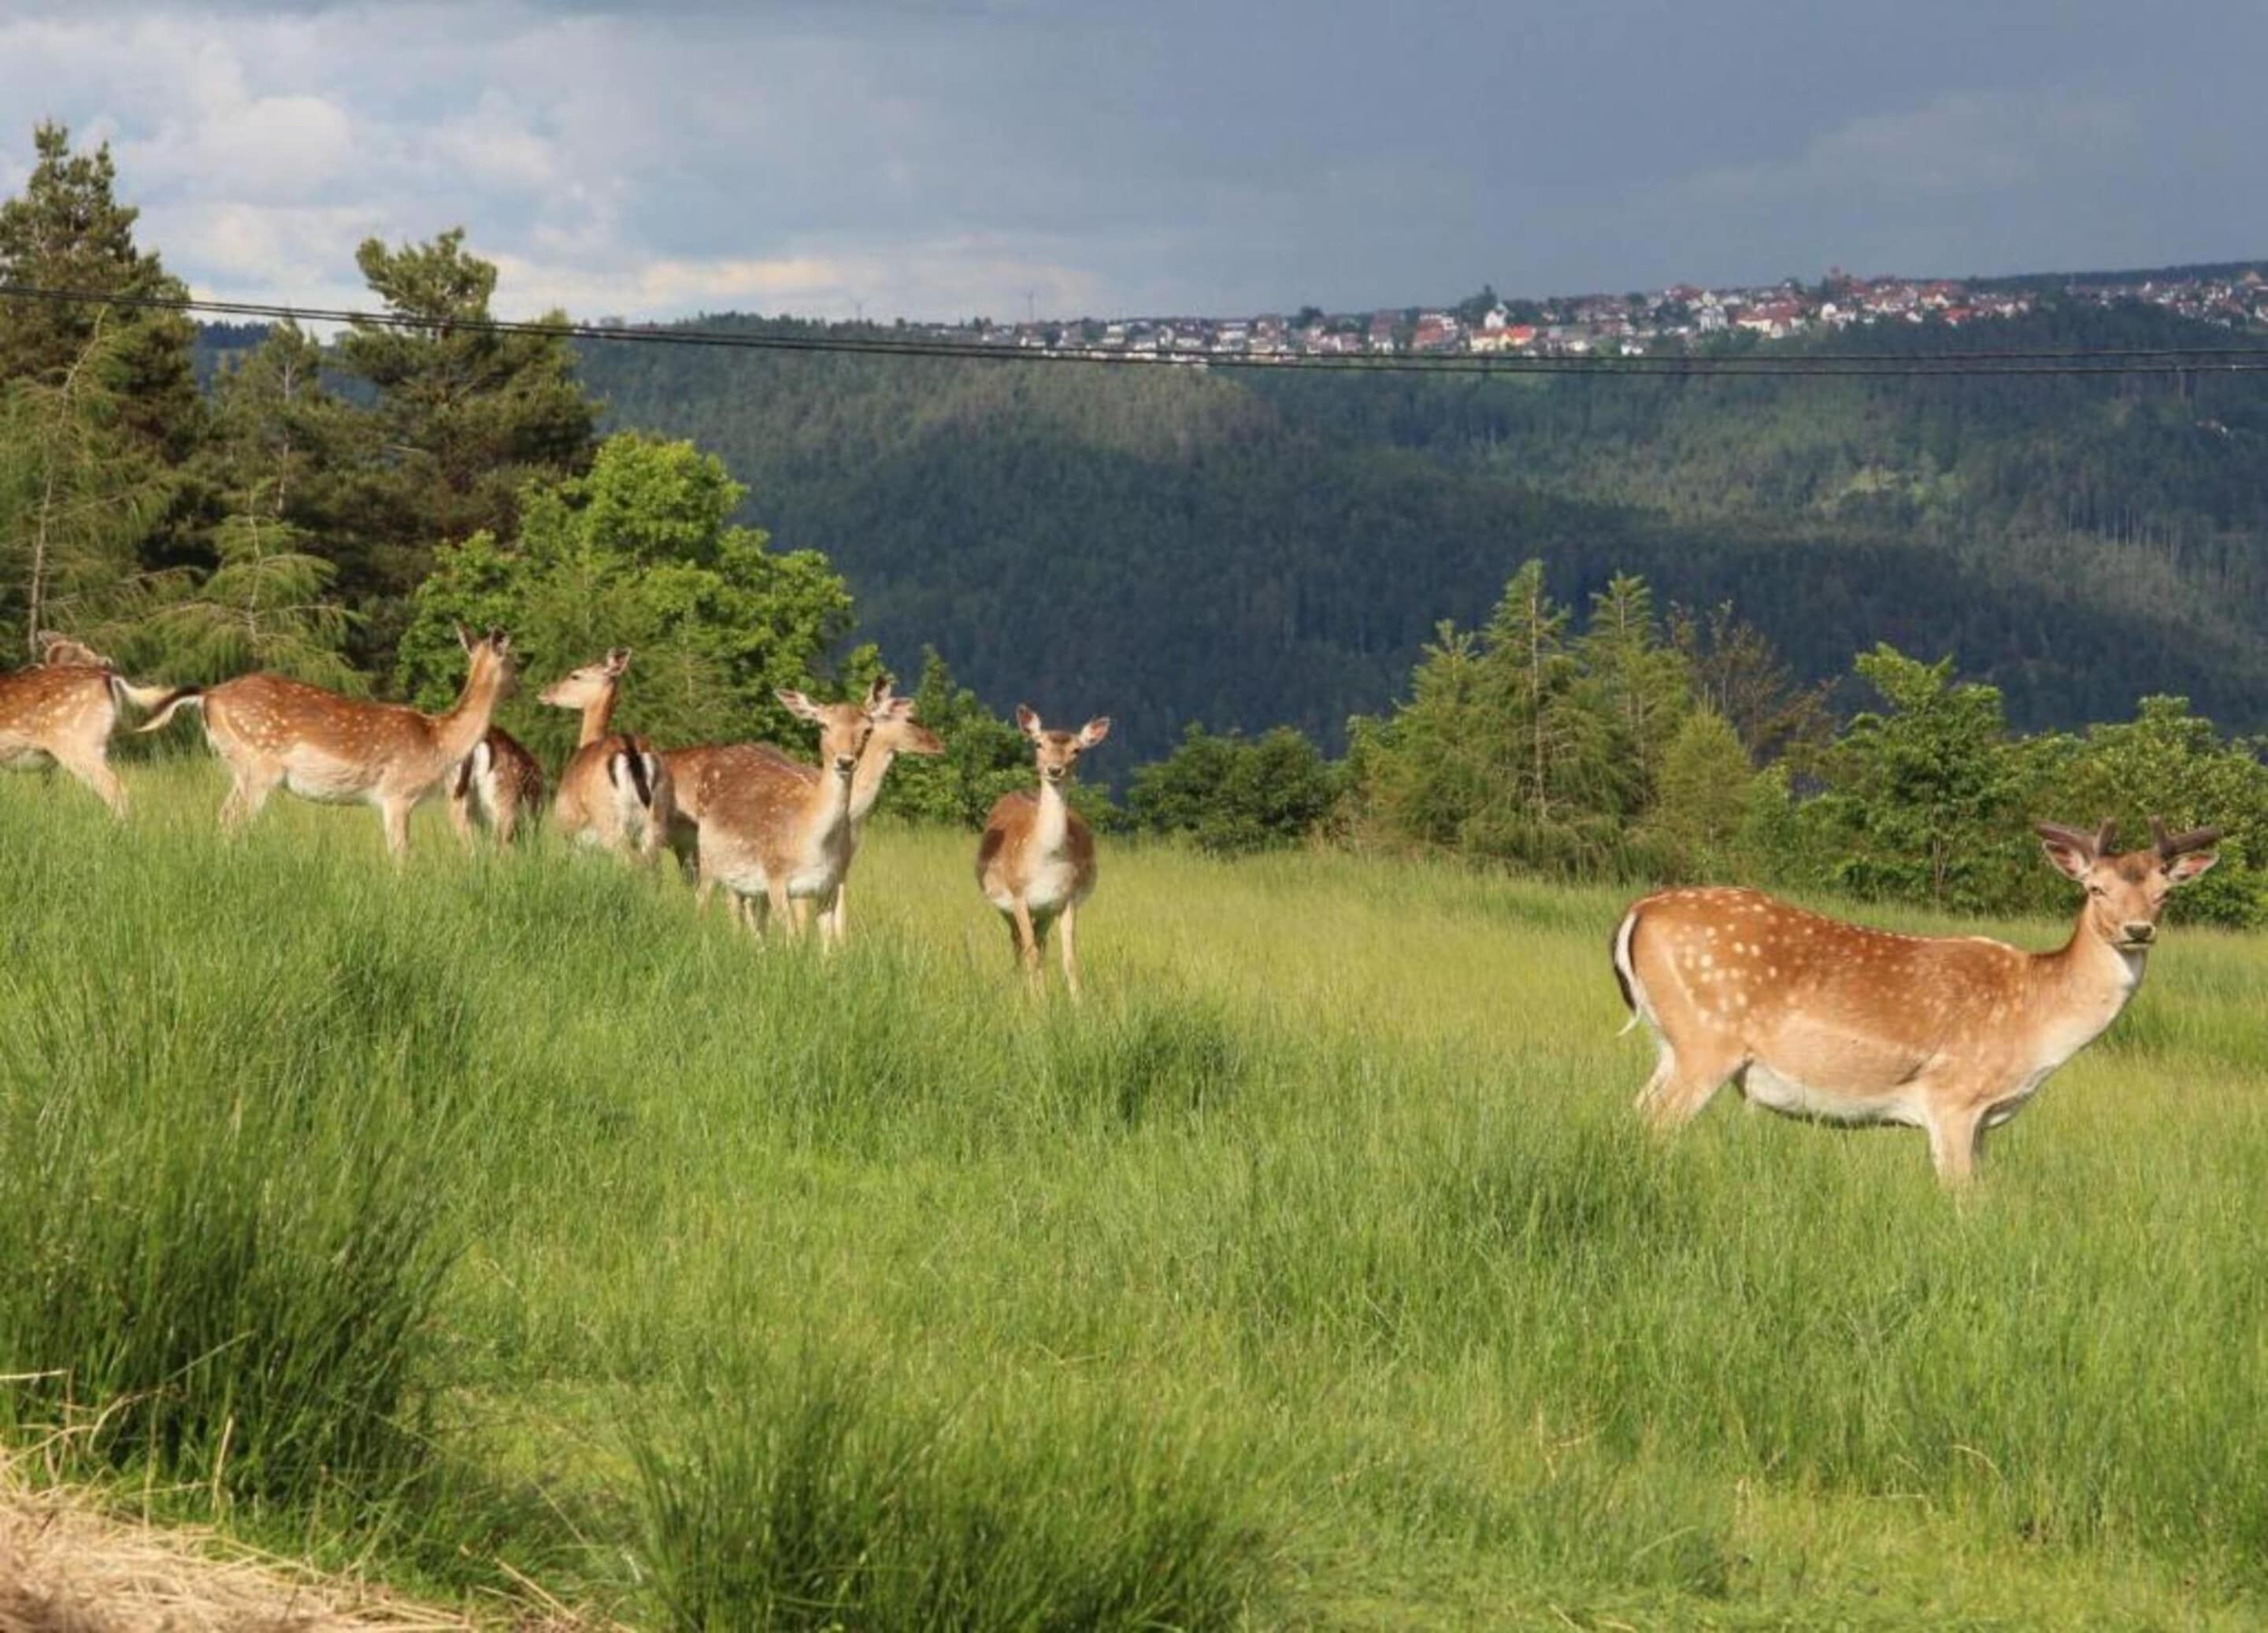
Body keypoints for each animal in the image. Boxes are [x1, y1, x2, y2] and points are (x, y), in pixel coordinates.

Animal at [138, 626, 516, 858]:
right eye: (516, 659)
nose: (522, 684)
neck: (439, 740)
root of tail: (209, 696)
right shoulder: (397, 793)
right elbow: (402, 856)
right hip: (257, 765)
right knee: (235, 820)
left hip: (239, 768)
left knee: (223, 816)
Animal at [538, 647, 673, 861]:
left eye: (575, 675)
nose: (545, 692)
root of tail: (632, 752)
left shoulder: (573, 834)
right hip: (657, 821)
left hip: (609, 821)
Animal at [668, 678, 888, 946]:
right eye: (823, 725)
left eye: (868, 730)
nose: (845, 761)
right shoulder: (776, 876)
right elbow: (792, 939)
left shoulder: (830, 885)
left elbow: (827, 945)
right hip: (709, 858)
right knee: (703, 902)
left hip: (747, 883)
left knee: (752, 921)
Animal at [976, 707, 1109, 997]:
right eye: (1039, 743)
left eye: (1077, 749)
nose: (1054, 769)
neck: (1047, 863)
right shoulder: (1018, 895)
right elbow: (1031, 954)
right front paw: (1038, 1001)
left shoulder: (1066, 899)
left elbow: (1069, 958)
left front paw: (1077, 1002)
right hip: (1004, 904)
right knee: (1018, 941)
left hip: (1045, 912)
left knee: (1040, 941)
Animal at [1609, 816, 2221, 1185]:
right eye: (2095, 889)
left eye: (2165, 894)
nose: (2138, 929)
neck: (2037, 1020)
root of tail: (1640, 911)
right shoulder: (1953, 1096)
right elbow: (1963, 1199)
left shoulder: (1984, 1119)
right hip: (1706, 1038)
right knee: (1657, 1121)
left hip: (1672, 1041)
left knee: (1636, 1111)